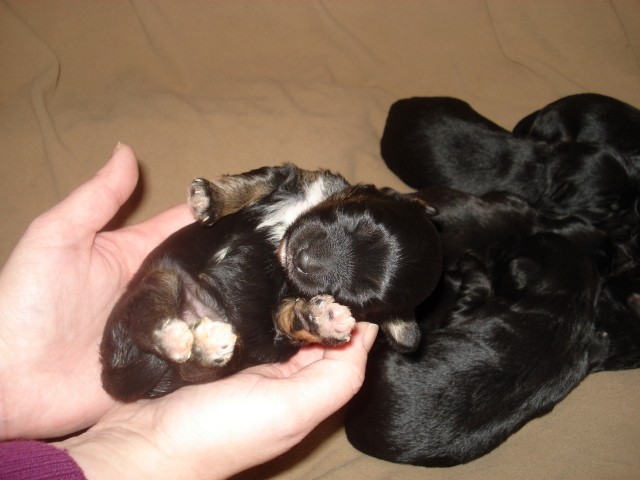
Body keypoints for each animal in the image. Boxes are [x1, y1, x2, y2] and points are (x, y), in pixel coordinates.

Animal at [100, 164, 443, 401]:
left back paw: (197, 342)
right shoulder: (294, 177)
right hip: (163, 280)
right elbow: (255, 181)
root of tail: (114, 376)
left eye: (355, 295)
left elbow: (293, 318)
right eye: (357, 220)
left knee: (175, 349)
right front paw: (209, 198)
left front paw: (324, 319)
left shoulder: (279, 320)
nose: (303, 259)